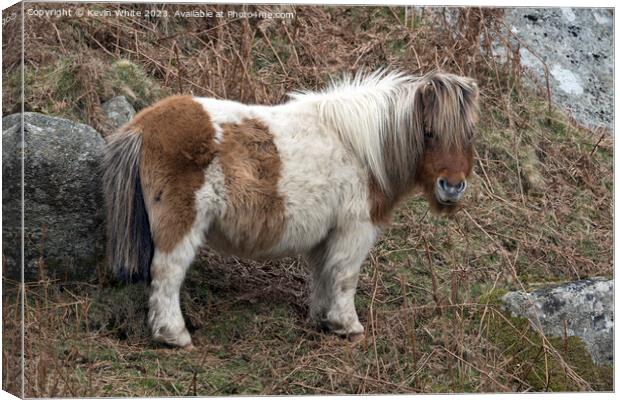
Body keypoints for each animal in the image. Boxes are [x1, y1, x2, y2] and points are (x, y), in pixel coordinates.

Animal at [103, 70, 480, 348]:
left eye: (470, 134)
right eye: (428, 132)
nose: (452, 187)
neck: (362, 149)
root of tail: (144, 125)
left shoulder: (327, 236)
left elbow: (324, 276)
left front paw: (323, 320)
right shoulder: (354, 229)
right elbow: (345, 277)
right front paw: (348, 326)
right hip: (181, 225)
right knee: (167, 273)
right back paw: (174, 336)